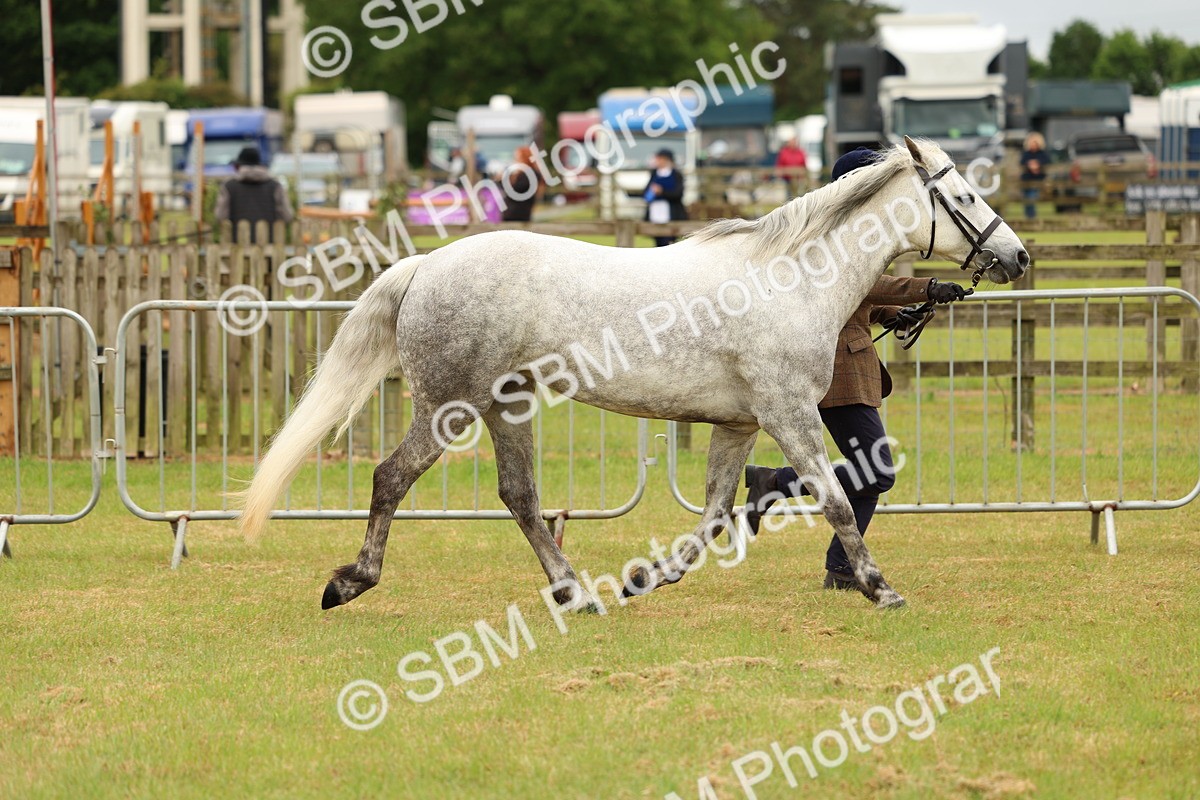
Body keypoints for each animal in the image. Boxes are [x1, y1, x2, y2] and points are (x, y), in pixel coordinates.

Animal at [239, 137, 1029, 612]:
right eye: (964, 197)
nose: (1017, 256)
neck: (792, 279)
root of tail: (426, 264)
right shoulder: (788, 414)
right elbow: (835, 500)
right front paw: (877, 586)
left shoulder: (740, 425)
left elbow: (713, 514)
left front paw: (649, 576)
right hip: (447, 408)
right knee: (391, 479)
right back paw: (349, 583)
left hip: (506, 406)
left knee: (519, 496)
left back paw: (574, 592)